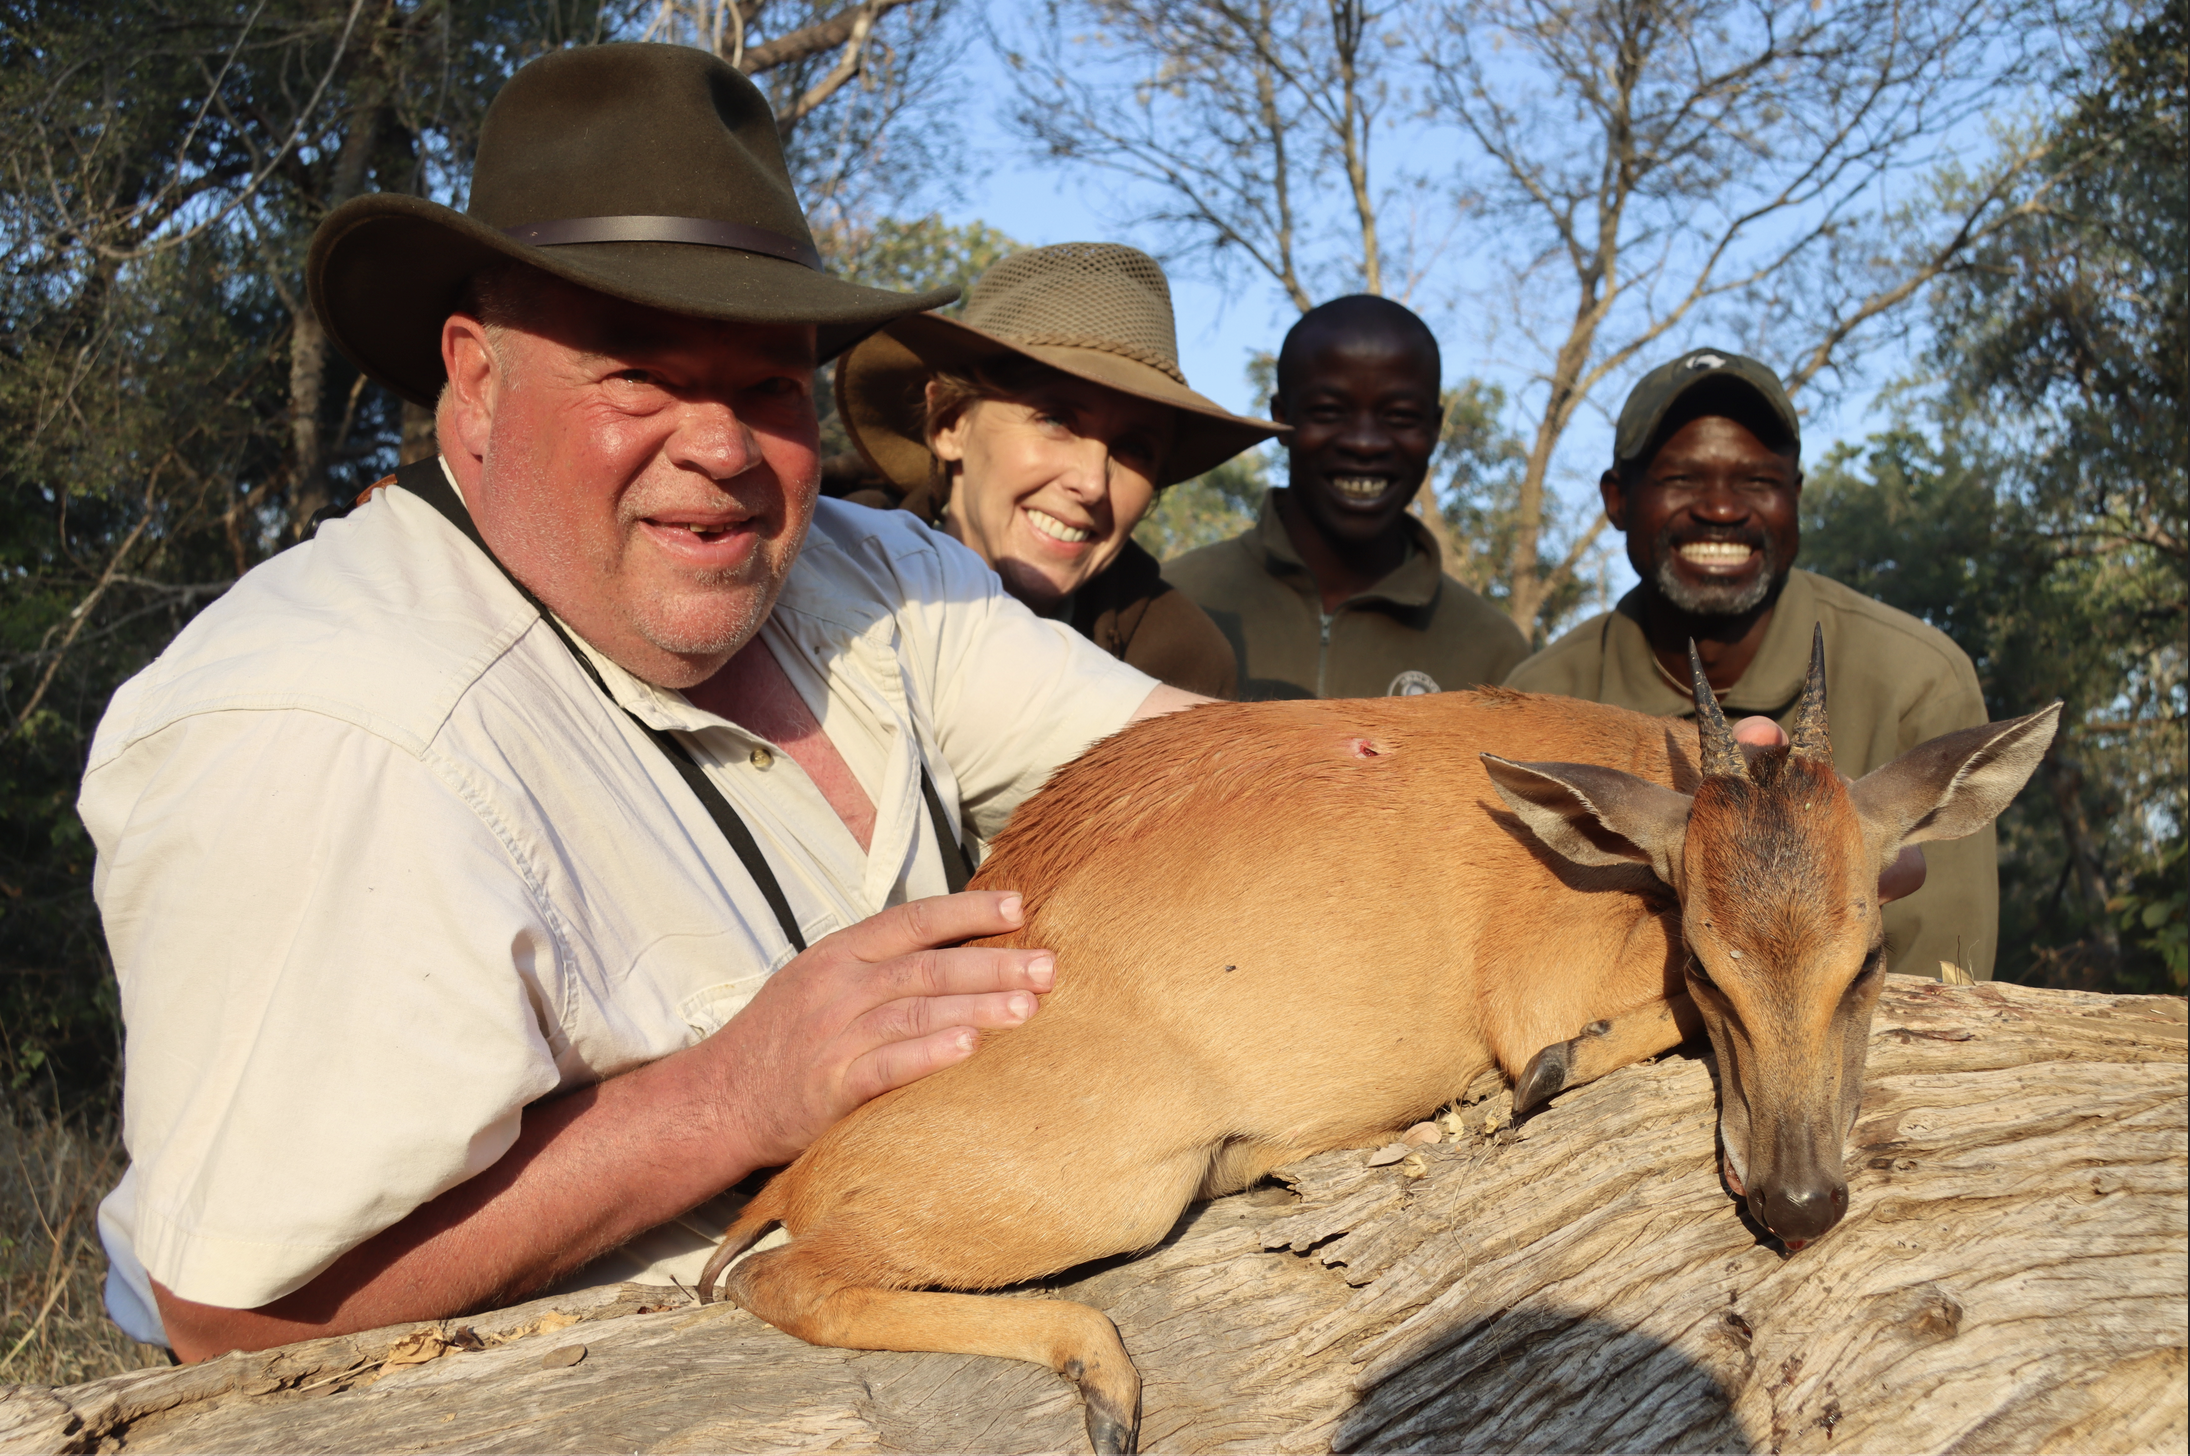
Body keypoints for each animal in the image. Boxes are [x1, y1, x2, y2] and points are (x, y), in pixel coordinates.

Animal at [696, 639, 2049, 1453]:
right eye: (1710, 968)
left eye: (1863, 959)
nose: (1800, 1198)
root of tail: (806, 1160)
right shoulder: (1551, 989)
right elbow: (1560, 1046)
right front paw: (1528, 1087)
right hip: (1116, 1194)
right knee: (779, 1279)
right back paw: (1102, 1372)